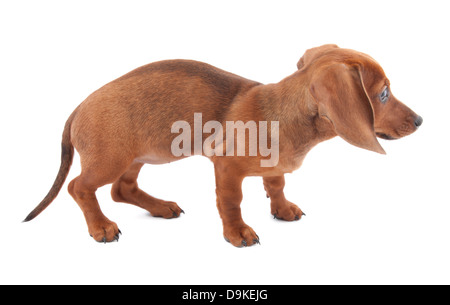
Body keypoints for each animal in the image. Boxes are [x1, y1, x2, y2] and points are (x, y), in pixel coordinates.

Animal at [23, 44, 422, 246]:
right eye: (383, 93)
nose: (420, 121)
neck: (284, 112)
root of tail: (77, 109)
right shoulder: (226, 168)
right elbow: (231, 202)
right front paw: (238, 232)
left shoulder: (273, 168)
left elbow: (276, 184)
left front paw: (282, 209)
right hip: (110, 158)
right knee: (80, 188)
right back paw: (101, 227)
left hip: (143, 154)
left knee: (122, 189)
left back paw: (160, 207)